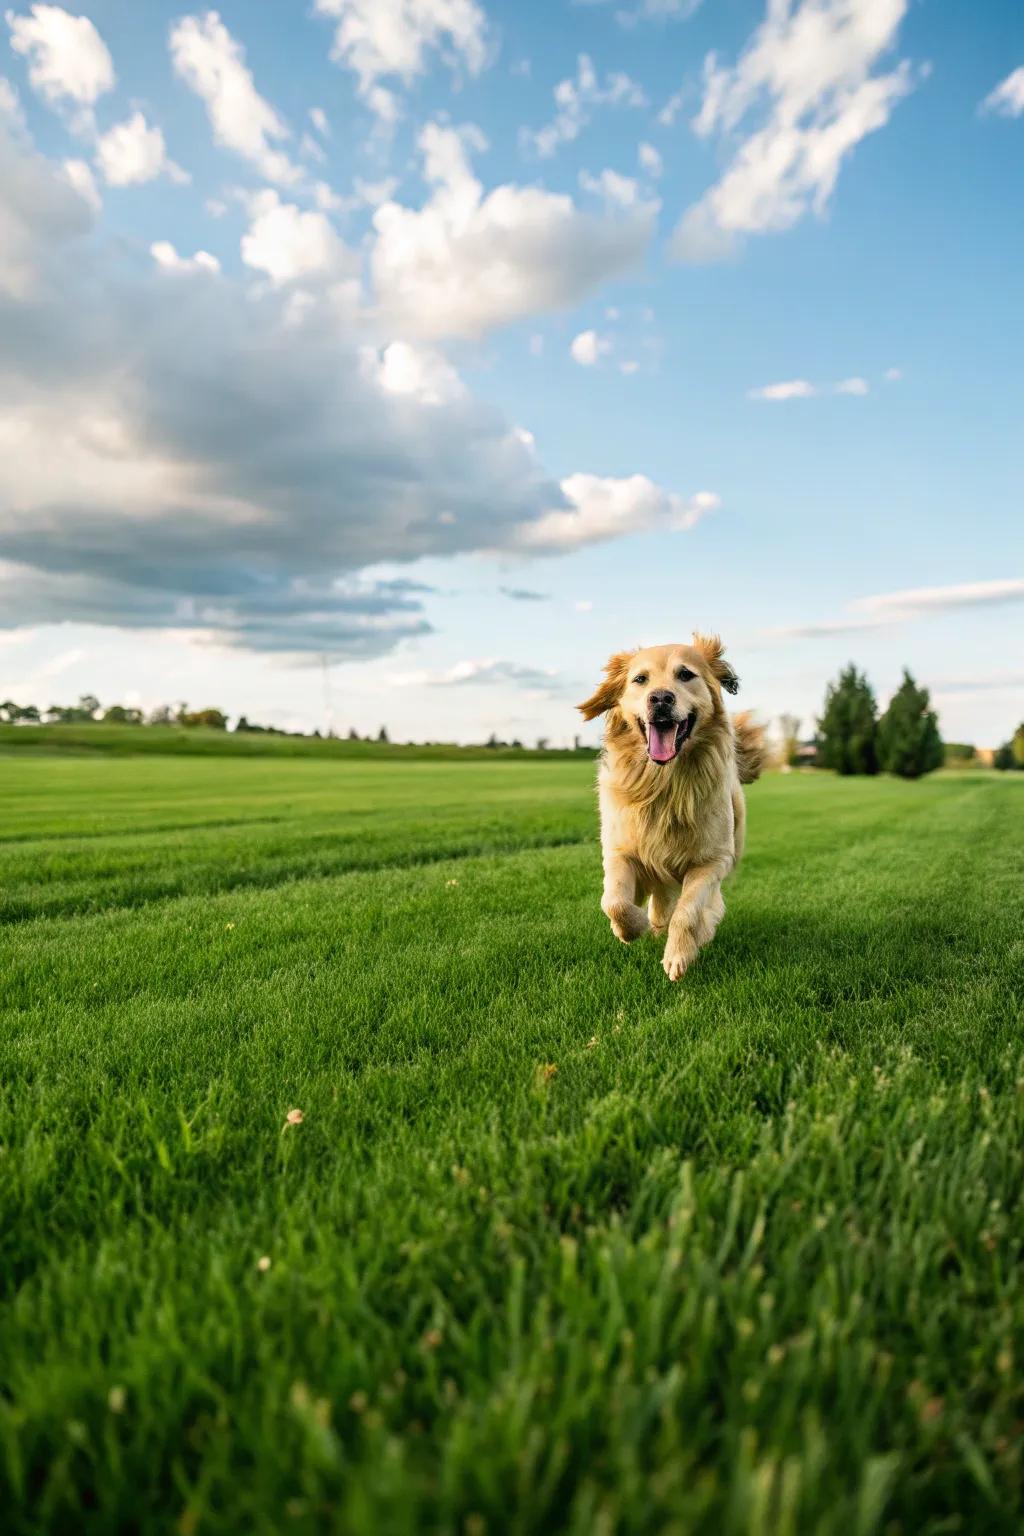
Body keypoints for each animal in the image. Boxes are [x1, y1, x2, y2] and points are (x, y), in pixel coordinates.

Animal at [580, 635, 764, 983]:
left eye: (685, 675)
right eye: (640, 679)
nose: (661, 699)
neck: (665, 784)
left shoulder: (712, 861)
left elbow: (688, 912)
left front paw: (678, 955)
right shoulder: (620, 851)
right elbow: (614, 902)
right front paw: (632, 928)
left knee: (706, 904)